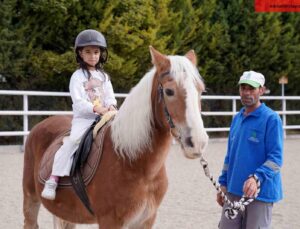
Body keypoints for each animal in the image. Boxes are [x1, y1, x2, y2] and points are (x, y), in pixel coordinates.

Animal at [22, 47, 209, 229]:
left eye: (201, 90)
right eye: (169, 91)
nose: (197, 142)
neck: (132, 161)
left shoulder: (146, 220)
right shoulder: (110, 221)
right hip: (31, 198)